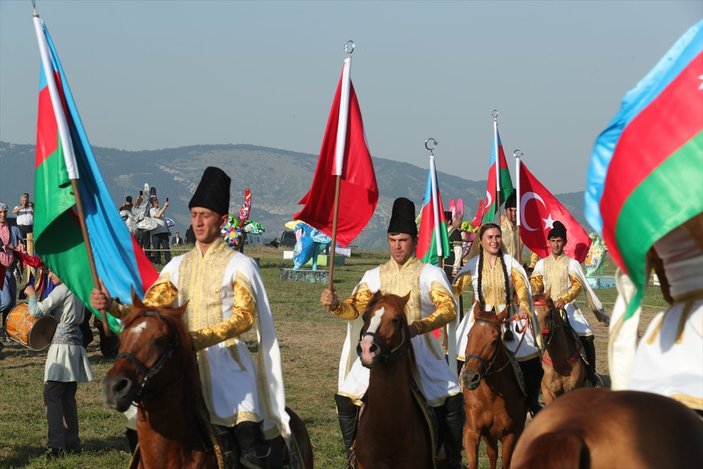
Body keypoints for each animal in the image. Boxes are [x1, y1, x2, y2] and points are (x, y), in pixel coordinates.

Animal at [462, 304, 528, 468]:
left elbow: (506, 462)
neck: (490, 396)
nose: (470, 378)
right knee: (492, 455)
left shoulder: (509, 434)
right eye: (469, 336)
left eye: (494, 340)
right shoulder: (472, 432)